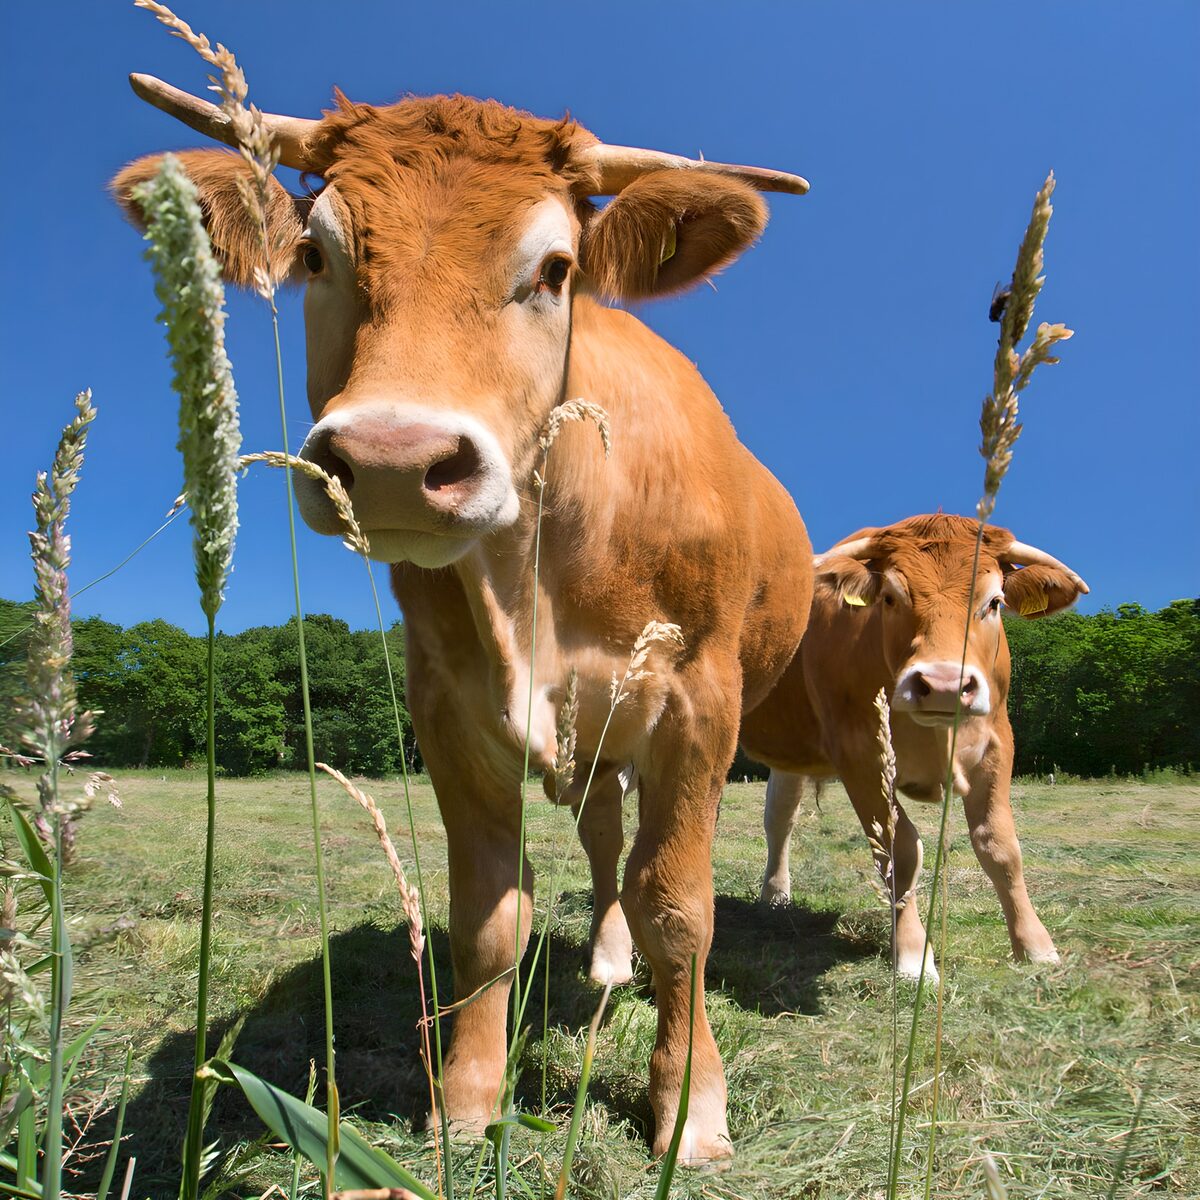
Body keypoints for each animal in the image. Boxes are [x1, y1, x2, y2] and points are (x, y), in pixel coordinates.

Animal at [113, 75, 814, 1162]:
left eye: (556, 269)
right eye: (315, 254)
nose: (394, 459)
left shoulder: (699, 702)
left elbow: (678, 909)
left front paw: (690, 1106)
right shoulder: (450, 706)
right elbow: (488, 917)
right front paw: (468, 1101)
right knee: (601, 843)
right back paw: (604, 960)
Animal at [739, 514, 1089, 979]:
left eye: (995, 602)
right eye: (890, 597)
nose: (944, 685)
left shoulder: (997, 744)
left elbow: (1000, 846)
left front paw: (1035, 947)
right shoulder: (862, 755)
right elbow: (899, 851)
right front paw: (912, 956)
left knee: (780, 815)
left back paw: (776, 895)